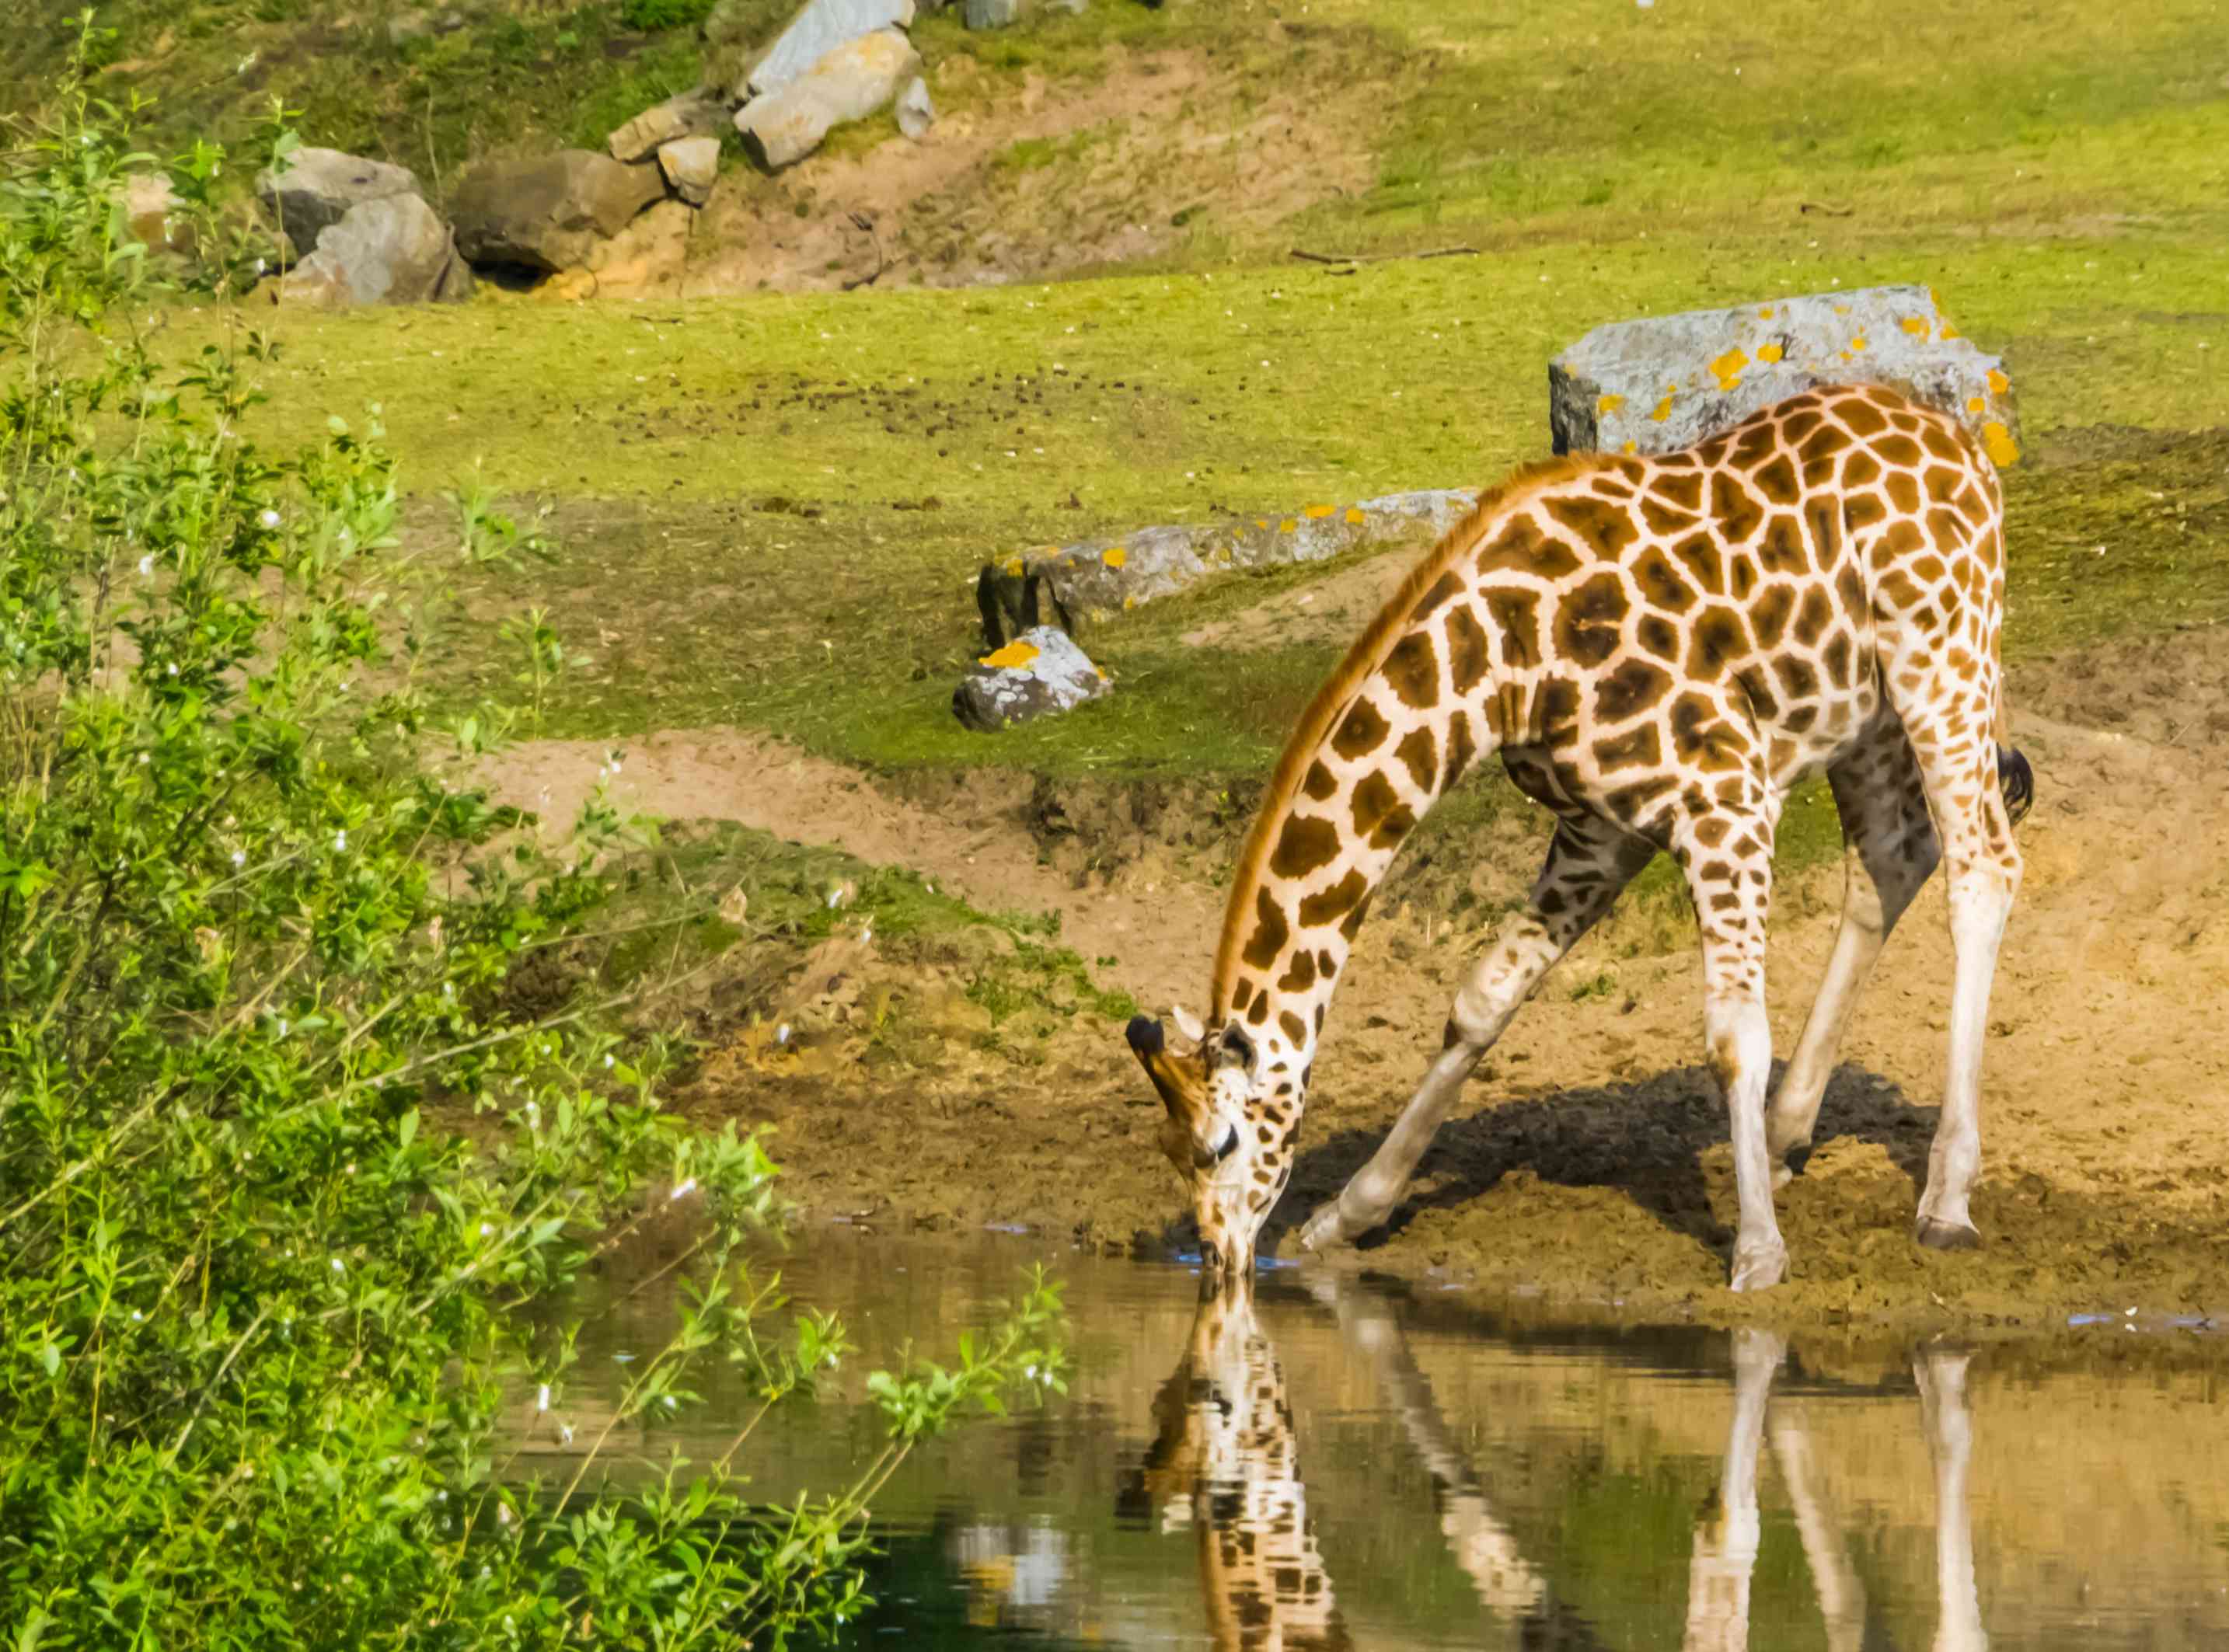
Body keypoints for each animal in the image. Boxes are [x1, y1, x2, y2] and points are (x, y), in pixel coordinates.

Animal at [1132, 383, 2042, 1293]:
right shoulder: (1598, 829)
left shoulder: (1726, 795)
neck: (1495, 664)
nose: (1217, 1260)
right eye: (1166, 1148)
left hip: (1942, 654)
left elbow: (1733, 1034)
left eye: (1223, 1140)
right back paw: (1788, 1133)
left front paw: (1757, 1252)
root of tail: (1960, 441)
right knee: (1894, 852)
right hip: (1861, 710)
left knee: (1983, 866)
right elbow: (1480, 1002)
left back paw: (1945, 1199)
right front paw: (1347, 1215)